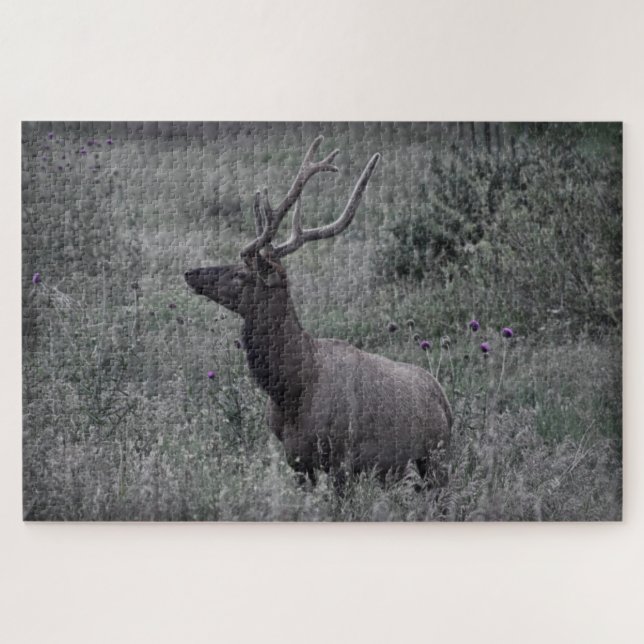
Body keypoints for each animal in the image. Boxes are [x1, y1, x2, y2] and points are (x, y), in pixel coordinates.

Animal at [185, 136, 452, 485]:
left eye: (241, 274)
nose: (190, 272)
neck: (293, 391)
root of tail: (447, 405)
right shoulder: (297, 461)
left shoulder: (342, 460)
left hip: (437, 460)